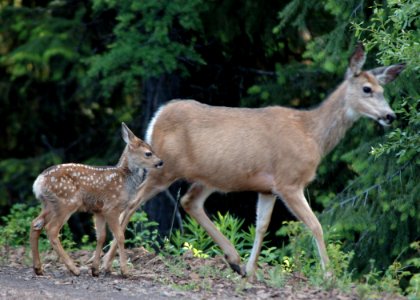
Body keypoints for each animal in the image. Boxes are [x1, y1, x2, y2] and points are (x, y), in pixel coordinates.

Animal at [30, 122, 162, 276]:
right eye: (148, 153)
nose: (161, 162)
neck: (125, 181)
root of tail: (39, 181)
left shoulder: (99, 211)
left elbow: (101, 237)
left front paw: (95, 270)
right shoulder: (111, 208)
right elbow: (120, 236)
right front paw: (124, 271)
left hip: (48, 204)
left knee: (35, 224)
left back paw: (38, 268)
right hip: (67, 202)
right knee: (51, 230)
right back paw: (73, 268)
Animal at [101, 43, 404, 278]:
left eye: (383, 90)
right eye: (367, 89)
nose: (390, 115)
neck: (312, 135)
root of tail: (157, 117)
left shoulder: (266, 188)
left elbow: (261, 226)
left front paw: (251, 269)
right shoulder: (288, 181)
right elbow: (316, 225)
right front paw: (329, 275)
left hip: (208, 177)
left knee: (189, 202)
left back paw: (233, 260)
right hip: (163, 168)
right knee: (129, 207)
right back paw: (107, 264)